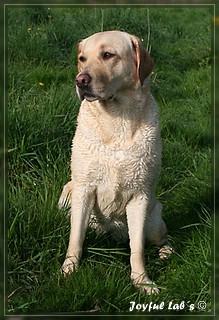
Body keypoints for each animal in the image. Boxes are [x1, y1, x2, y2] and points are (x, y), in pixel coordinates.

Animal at [59, 30, 172, 296]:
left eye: (108, 55)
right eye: (82, 58)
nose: (80, 80)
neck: (116, 120)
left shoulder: (140, 195)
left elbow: (137, 248)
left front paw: (142, 281)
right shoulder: (83, 188)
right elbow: (75, 238)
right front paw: (68, 271)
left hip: (154, 216)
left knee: (161, 237)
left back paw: (165, 252)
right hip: (66, 196)